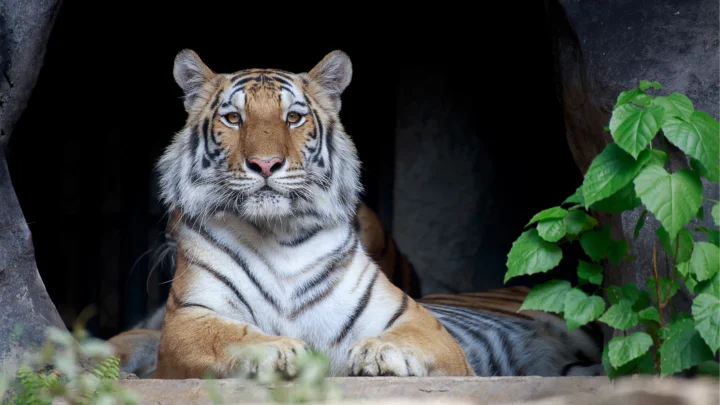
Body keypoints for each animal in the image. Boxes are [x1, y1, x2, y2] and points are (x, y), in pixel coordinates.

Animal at [107, 49, 604, 380]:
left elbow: (408, 337)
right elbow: (231, 336)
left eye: (293, 118)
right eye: (233, 119)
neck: (276, 234)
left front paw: (377, 355)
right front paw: (282, 352)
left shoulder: (418, 322)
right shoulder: (189, 319)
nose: (266, 164)